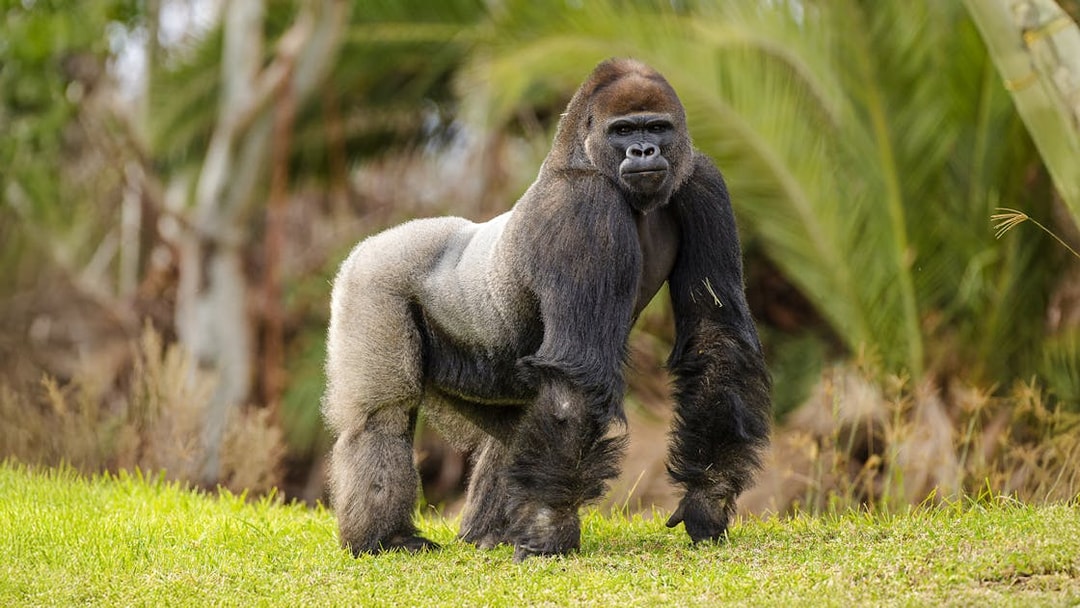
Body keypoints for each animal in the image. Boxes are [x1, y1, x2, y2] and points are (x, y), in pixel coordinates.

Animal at [323, 58, 771, 562]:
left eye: (657, 127)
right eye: (622, 130)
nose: (643, 150)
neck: (580, 154)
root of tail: (371, 242)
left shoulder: (701, 179)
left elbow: (716, 334)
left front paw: (707, 498)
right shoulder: (583, 208)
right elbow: (576, 375)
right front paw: (546, 530)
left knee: (512, 433)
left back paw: (486, 534)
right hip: (372, 279)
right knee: (381, 417)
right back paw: (384, 538)